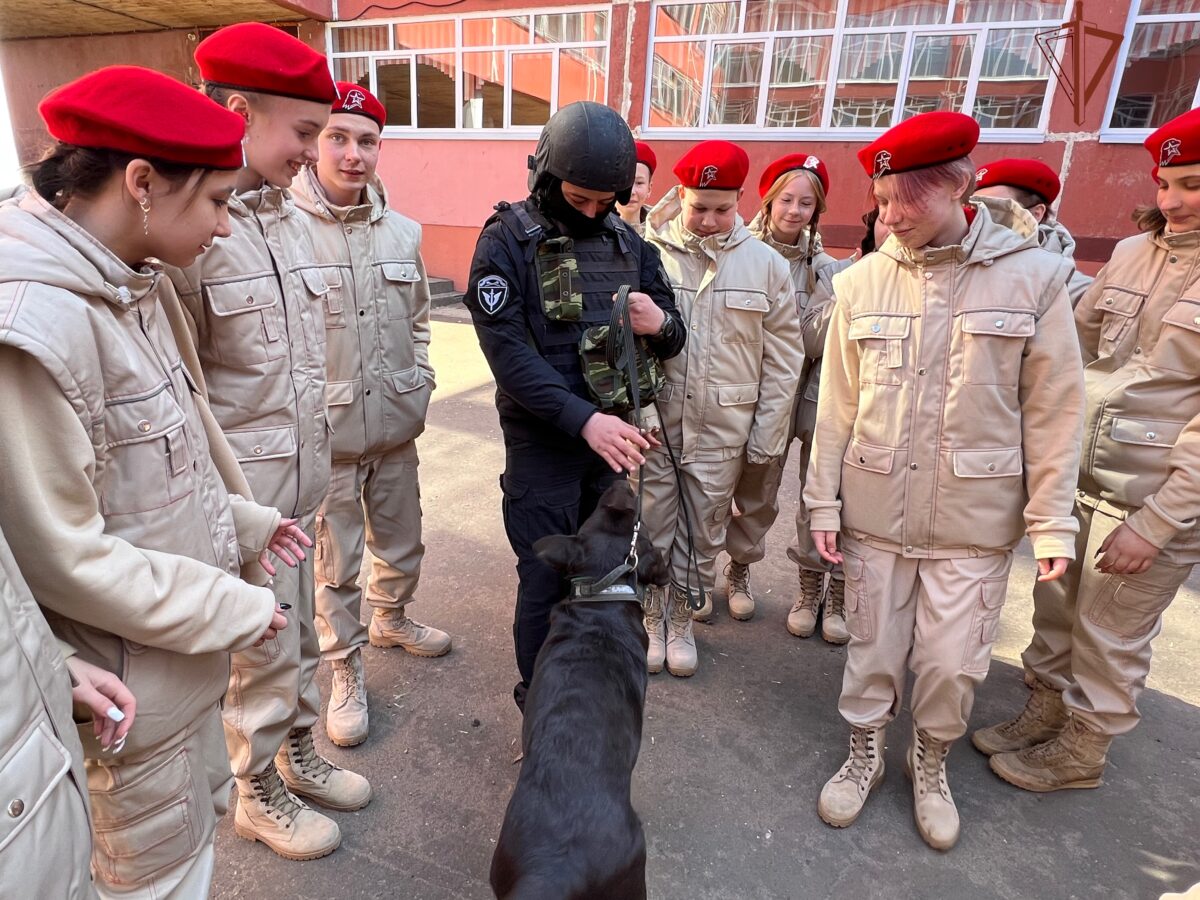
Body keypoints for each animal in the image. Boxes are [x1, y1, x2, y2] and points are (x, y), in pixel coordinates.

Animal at [492, 482, 672, 897]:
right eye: (641, 525)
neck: (600, 602)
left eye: (592, 515)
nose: (621, 483)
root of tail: (554, 870)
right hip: (633, 875)